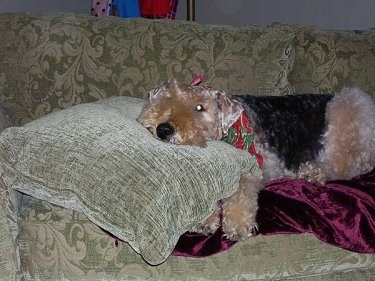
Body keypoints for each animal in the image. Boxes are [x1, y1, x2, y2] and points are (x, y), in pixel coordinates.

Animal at [138, 78, 375, 238]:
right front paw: (205, 220)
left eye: (200, 107)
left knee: (347, 164)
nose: (163, 130)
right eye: (168, 98)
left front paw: (237, 224)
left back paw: (313, 173)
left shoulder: (262, 165)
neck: (232, 131)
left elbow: (241, 188)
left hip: (346, 108)